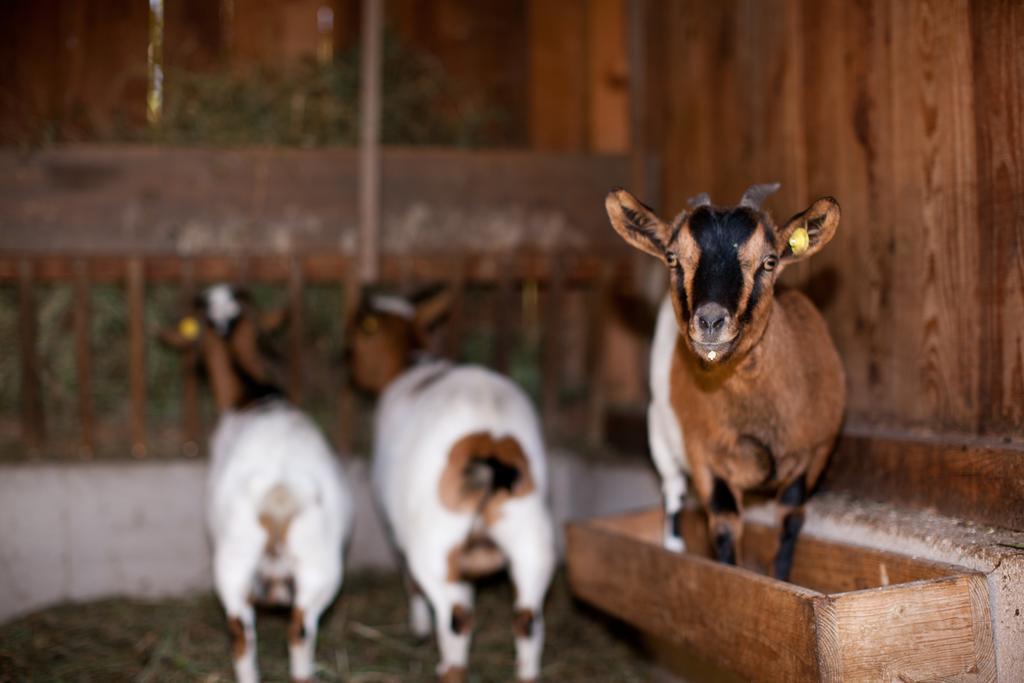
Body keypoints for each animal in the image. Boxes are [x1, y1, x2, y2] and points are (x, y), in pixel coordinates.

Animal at [160, 286, 352, 683]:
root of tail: (279, 495)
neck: (253, 393)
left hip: (233, 564)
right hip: (318, 567)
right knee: (300, 631)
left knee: (241, 636)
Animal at [348, 290, 557, 683]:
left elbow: (410, 581)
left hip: (436, 546)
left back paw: (447, 664)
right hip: (530, 540)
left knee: (457, 620)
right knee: (528, 621)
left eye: (360, 333)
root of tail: (490, 447)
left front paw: (417, 629)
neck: (408, 364)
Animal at [606, 183, 847, 581]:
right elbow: (724, 524)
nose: (710, 321)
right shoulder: (706, 457)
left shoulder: (814, 455)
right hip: (659, 433)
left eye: (769, 261)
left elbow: (790, 522)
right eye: (672, 258)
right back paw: (674, 548)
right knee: (673, 493)